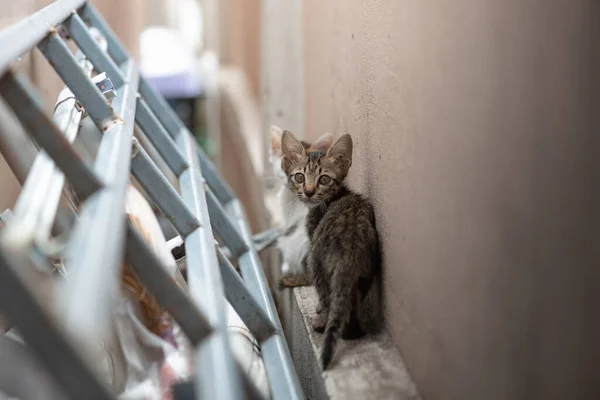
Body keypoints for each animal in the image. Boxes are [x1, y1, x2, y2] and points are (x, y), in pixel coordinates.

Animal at [282, 130, 380, 368]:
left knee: (327, 297)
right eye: (299, 177)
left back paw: (321, 322)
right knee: (348, 304)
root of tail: (348, 254)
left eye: (324, 179)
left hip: (317, 262)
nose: (308, 192)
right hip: (364, 273)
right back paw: (353, 332)